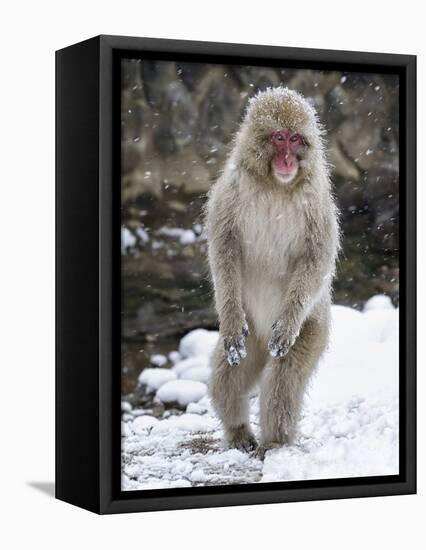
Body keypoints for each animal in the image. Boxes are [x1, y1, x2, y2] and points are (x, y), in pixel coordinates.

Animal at [206, 87, 340, 462]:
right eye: (278, 137)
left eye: (296, 139)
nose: (288, 160)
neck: (276, 186)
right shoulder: (230, 191)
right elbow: (224, 249)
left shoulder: (317, 201)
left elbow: (316, 258)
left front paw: (288, 324)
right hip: (250, 332)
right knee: (229, 372)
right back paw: (238, 430)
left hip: (315, 327)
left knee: (285, 375)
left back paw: (276, 441)